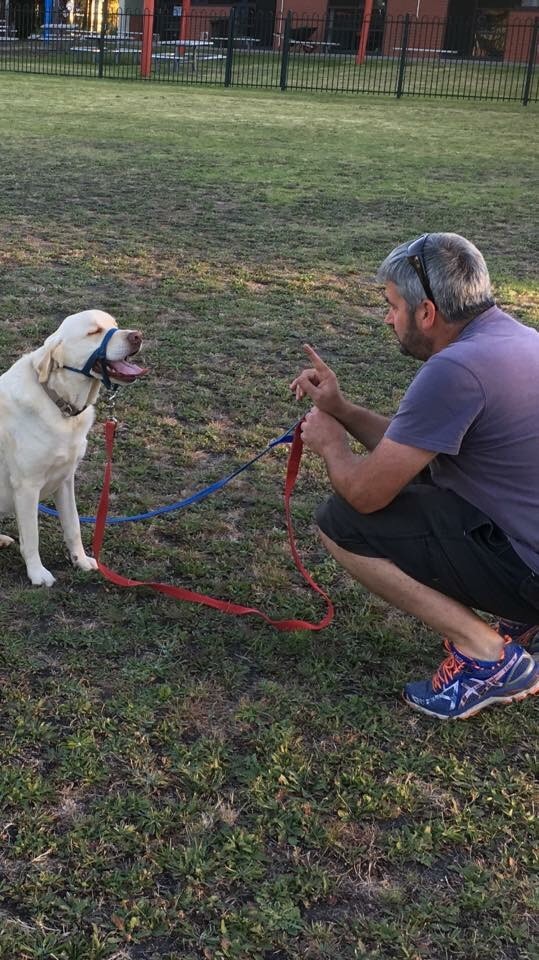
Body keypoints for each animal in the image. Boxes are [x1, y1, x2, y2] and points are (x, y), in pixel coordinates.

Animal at [0, 312, 146, 588]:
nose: (137, 336)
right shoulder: (27, 486)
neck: (61, 405)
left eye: (115, 325)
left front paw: (81, 560)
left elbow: (73, 525)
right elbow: (32, 537)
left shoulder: (65, 479)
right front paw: (37, 573)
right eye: (94, 332)